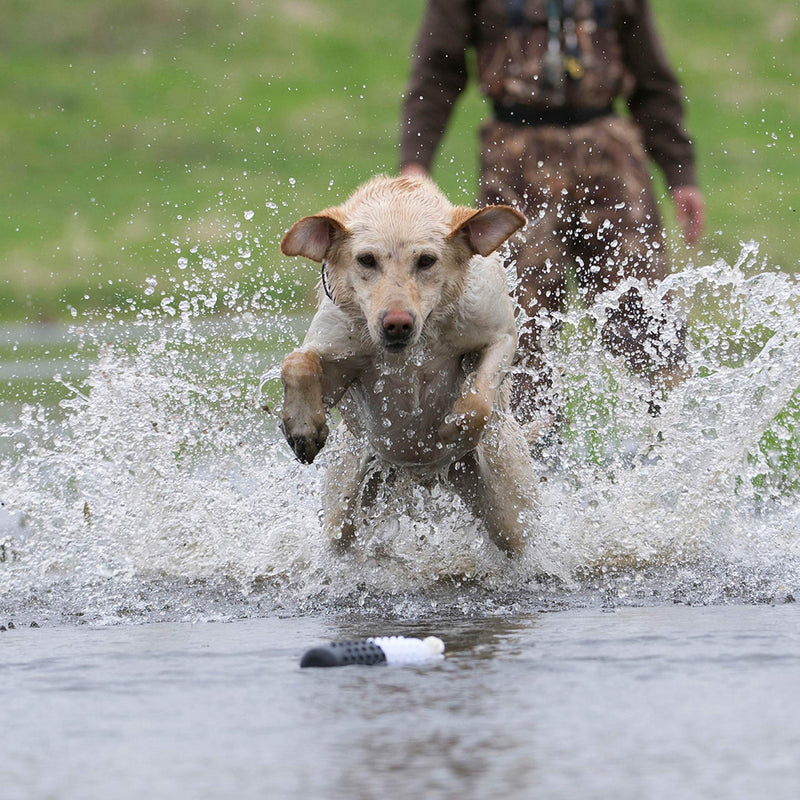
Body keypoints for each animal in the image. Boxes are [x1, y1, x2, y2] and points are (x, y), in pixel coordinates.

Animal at [278, 175, 540, 552]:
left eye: (426, 260)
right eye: (366, 260)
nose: (398, 323)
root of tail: (421, 476)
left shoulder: (500, 333)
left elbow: (478, 400)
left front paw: (453, 428)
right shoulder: (338, 356)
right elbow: (298, 362)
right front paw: (303, 429)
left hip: (510, 505)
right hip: (344, 498)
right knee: (340, 534)